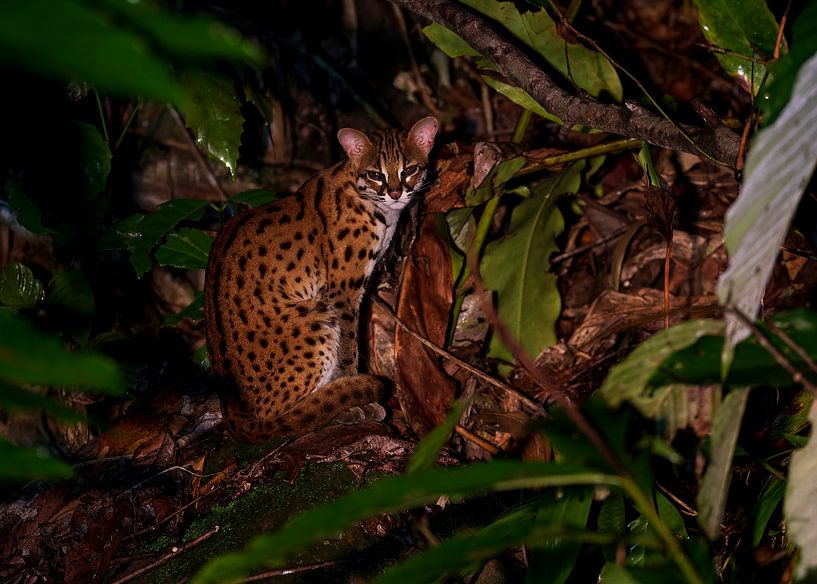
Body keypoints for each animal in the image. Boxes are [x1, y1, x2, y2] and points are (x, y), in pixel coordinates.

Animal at [204, 115, 440, 442]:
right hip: (315, 318)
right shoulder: (342, 292)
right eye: (375, 175)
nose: (395, 193)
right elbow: (349, 351)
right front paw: (353, 399)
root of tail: (230, 413)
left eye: (410, 170)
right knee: (281, 416)